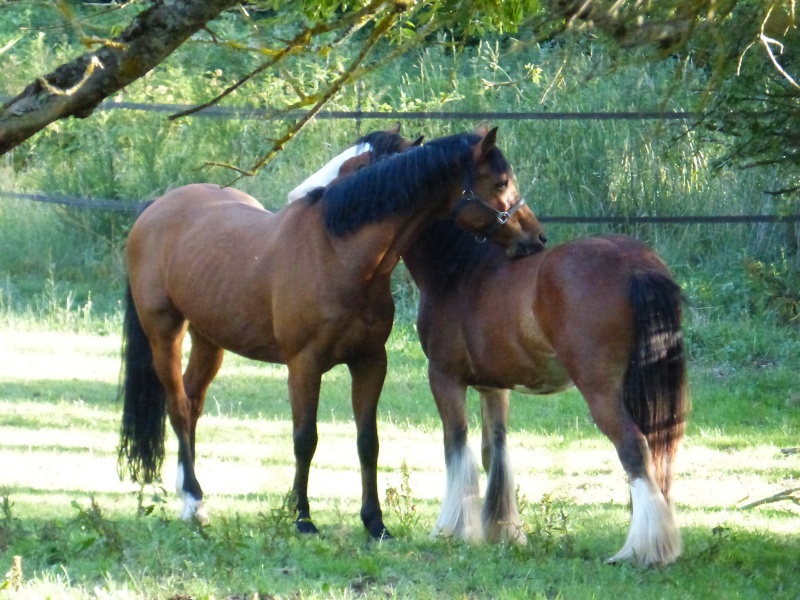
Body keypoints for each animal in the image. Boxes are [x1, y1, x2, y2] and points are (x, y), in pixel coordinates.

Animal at [117, 123, 544, 540]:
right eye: (501, 181)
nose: (537, 238)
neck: (338, 254)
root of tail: (155, 207)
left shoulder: (370, 362)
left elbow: (368, 442)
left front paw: (375, 523)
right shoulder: (303, 365)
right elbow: (305, 439)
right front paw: (303, 518)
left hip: (209, 341)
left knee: (192, 403)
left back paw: (189, 493)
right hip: (164, 333)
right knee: (177, 407)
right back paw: (193, 501)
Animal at [300, 127, 688, 568]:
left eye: (356, 167)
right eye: (503, 181)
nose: (536, 237)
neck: (461, 270)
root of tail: (636, 263)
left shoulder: (445, 379)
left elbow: (457, 449)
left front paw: (451, 530)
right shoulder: (493, 386)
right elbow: (493, 451)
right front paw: (501, 532)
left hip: (601, 390)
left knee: (634, 448)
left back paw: (643, 549)